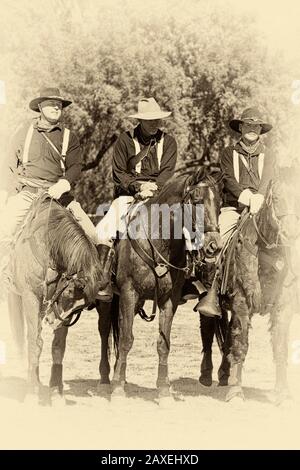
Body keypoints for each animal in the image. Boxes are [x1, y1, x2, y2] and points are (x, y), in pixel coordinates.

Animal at [7, 196, 103, 402]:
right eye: (69, 292)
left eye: (81, 307)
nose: (52, 321)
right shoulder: (31, 298)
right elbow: (33, 342)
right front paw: (31, 393)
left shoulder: (53, 308)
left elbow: (55, 346)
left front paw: (52, 390)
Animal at [96, 168, 223, 400]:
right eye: (197, 201)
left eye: (219, 203)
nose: (214, 246)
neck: (158, 242)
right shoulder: (129, 293)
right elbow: (126, 340)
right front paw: (118, 390)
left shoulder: (168, 300)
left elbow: (163, 343)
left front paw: (163, 389)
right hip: (109, 301)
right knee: (104, 332)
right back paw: (106, 380)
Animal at [221, 173, 298, 404]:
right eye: (276, 198)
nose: (291, 233)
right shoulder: (241, 303)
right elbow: (241, 345)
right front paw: (236, 392)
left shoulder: (283, 306)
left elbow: (280, 347)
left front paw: (282, 392)